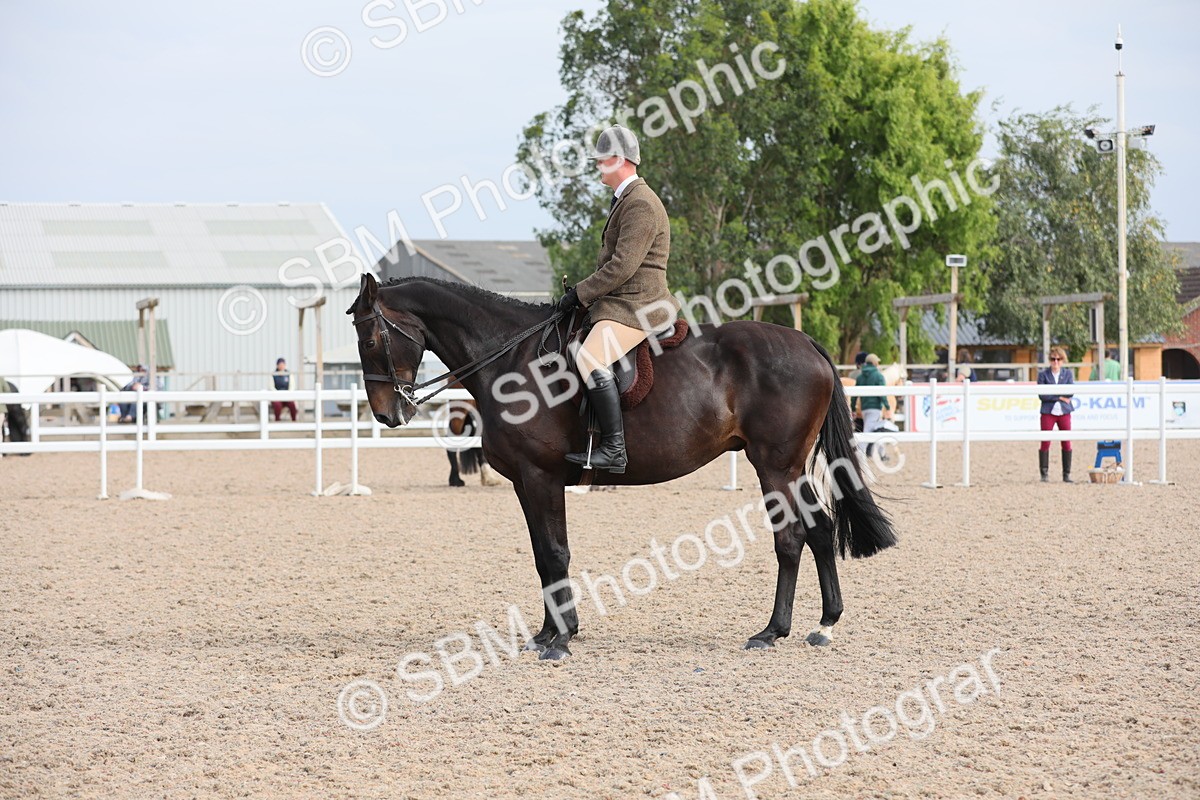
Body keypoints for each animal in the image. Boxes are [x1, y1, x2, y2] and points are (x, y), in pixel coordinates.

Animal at [348, 273, 896, 660]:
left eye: (370, 339)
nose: (387, 414)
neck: (511, 360)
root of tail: (806, 343)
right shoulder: (528, 483)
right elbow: (543, 556)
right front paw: (547, 632)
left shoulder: (541, 477)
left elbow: (555, 554)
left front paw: (561, 640)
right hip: (790, 468)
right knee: (820, 530)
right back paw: (823, 624)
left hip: (776, 467)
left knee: (791, 538)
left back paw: (771, 631)